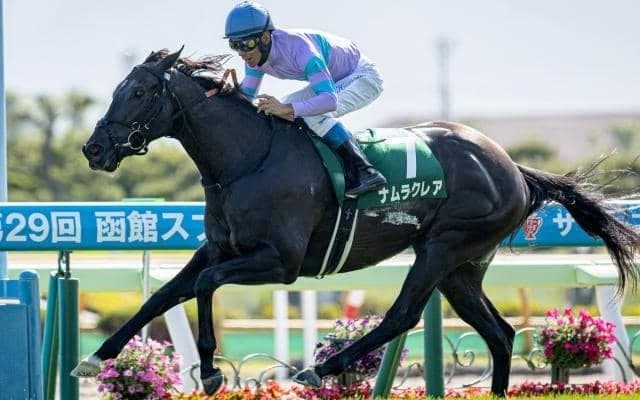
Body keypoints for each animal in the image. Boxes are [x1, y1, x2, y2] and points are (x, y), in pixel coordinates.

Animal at [75, 47, 640, 396]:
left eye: (139, 93)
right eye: (119, 88)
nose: (94, 148)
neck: (247, 159)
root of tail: (514, 169)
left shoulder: (279, 262)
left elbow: (206, 286)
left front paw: (212, 370)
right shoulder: (218, 249)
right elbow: (162, 295)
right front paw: (96, 358)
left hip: (443, 247)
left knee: (401, 316)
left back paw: (319, 368)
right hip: (462, 268)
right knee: (499, 334)